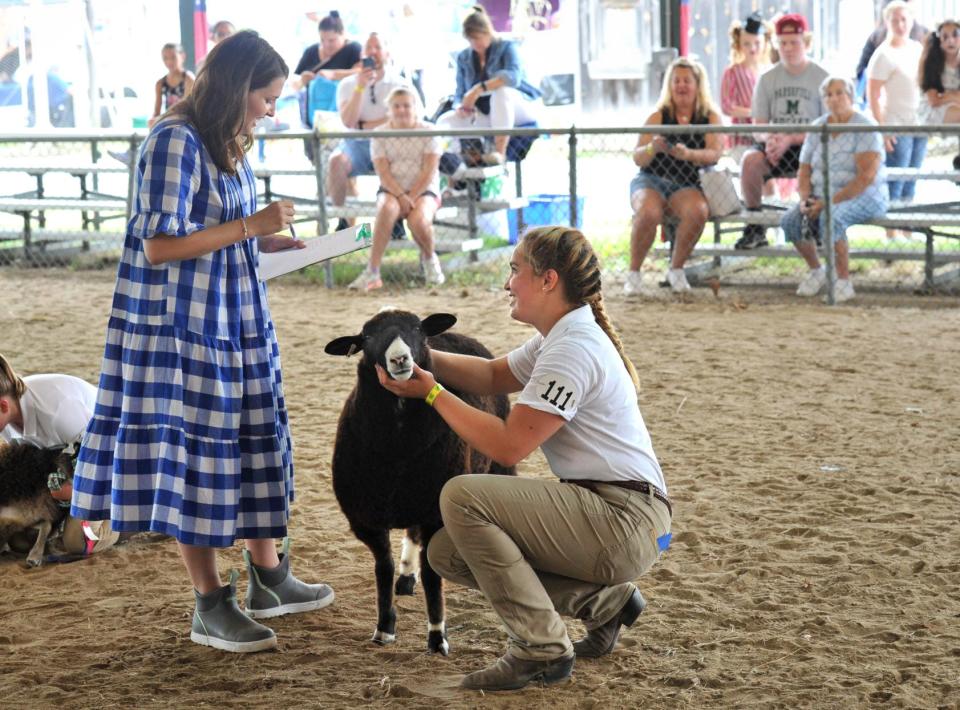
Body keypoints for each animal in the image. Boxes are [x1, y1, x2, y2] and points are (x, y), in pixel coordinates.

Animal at [324, 312, 516, 656]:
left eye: (416, 329)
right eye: (367, 338)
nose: (400, 358)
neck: (398, 448)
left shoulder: (434, 514)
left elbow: (431, 575)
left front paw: (437, 637)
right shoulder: (366, 519)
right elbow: (383, 569)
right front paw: (384, 628)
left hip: (494, 468)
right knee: (411, 536)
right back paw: (405, 577)